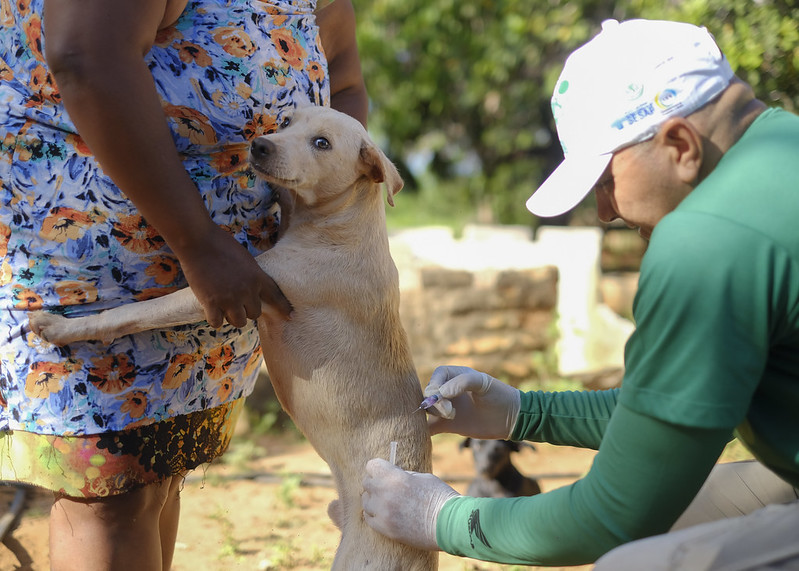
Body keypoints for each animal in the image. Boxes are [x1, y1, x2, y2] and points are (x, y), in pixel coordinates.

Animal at [29, 106, 438, 571]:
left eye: (322, 143)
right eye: (289, 121)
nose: (259, 145)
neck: (346, 224)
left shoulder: (235, 288)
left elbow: (128, 314)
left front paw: (60, 327)